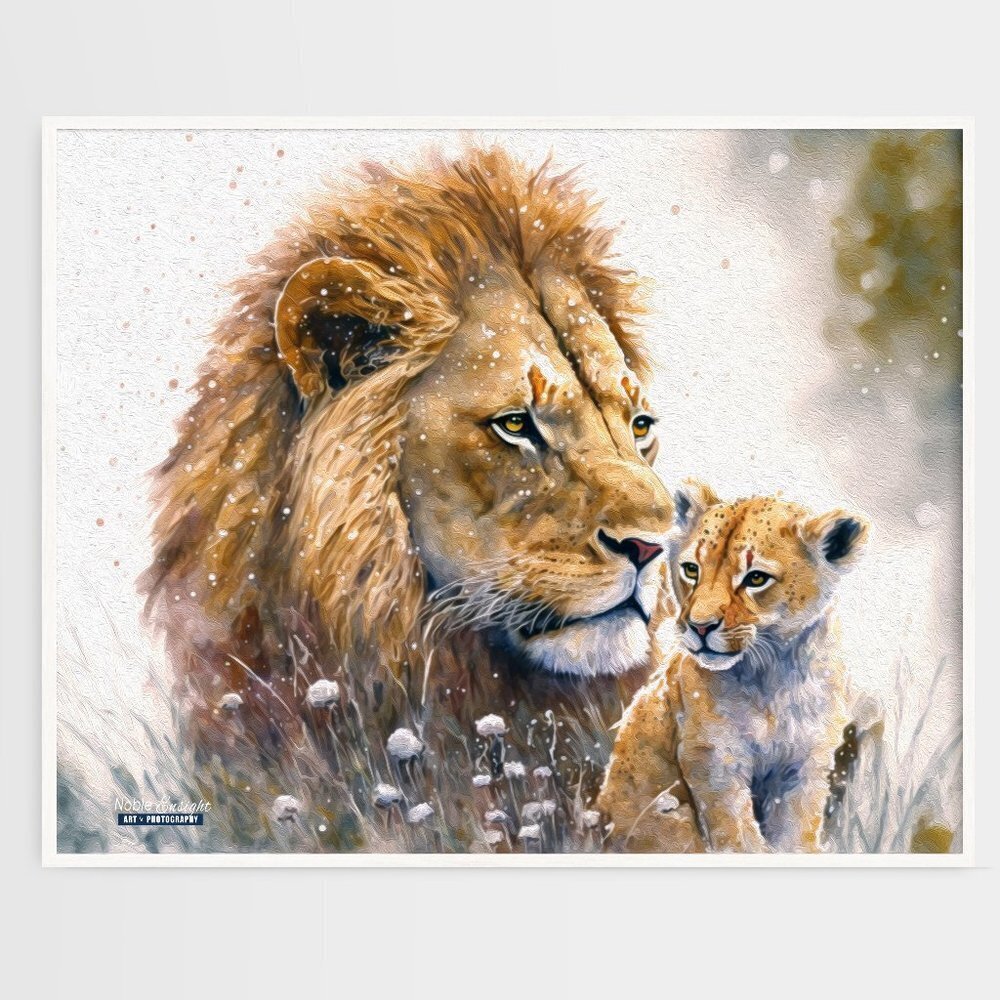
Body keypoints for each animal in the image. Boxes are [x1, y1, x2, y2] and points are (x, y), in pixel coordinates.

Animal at [598, 481, 868, 853]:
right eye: (692, 570)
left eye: (756, 578)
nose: (699, 627)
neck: (772, 678)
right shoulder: (712, 758)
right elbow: (738, 834)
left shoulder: (808, 761)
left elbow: (797, 829)